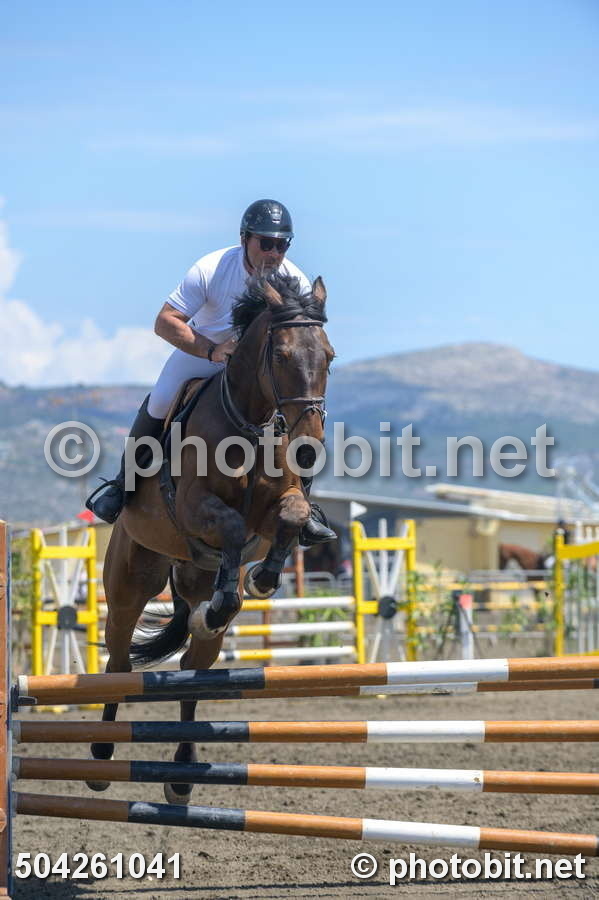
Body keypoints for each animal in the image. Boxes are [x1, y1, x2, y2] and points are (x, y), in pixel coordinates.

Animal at [89, 273, 334, 805]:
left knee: (193, 669)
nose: (309, 445)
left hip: (193, 581)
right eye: (280, 355)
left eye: (328, 355)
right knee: (118, 661)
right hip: (129, 584)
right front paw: (238, 593)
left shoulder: (277, 508)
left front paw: (262, 579)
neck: (252, 424)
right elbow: (233, 526)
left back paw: (182, 773)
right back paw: (100, 755)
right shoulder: (193, 507)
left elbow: (290, 516)